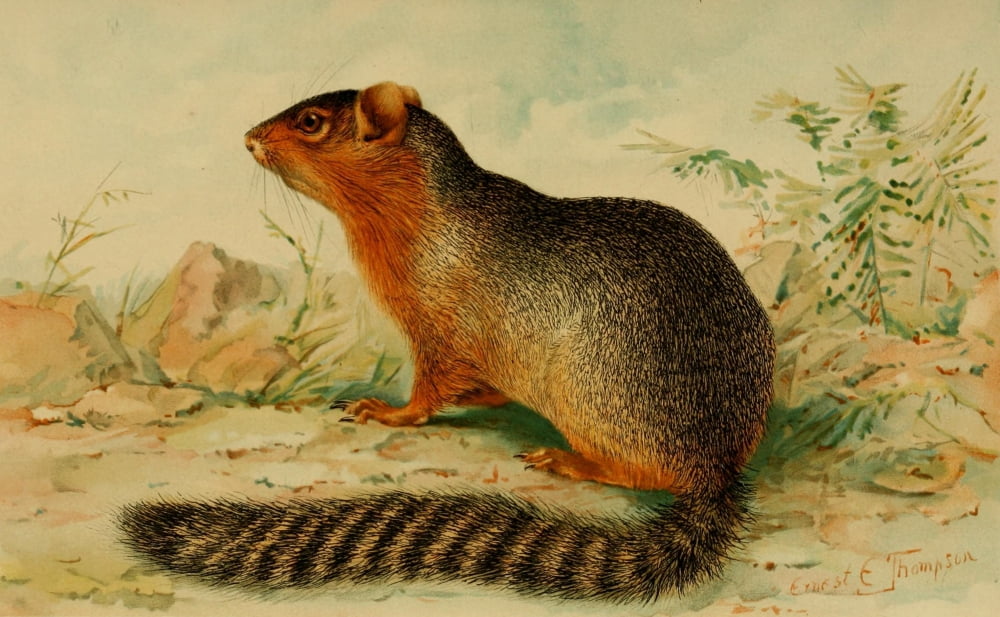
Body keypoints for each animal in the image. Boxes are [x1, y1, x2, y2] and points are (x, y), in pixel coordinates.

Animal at [119, 82, 775, 603]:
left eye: (310, 121)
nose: (249, 137)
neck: (428, 215)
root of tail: (716, 468)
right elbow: (478, 389)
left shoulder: (439, 326)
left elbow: (430, 391)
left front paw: (383, 410)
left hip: (587, 397)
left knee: (639, 473)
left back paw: (566, 458)